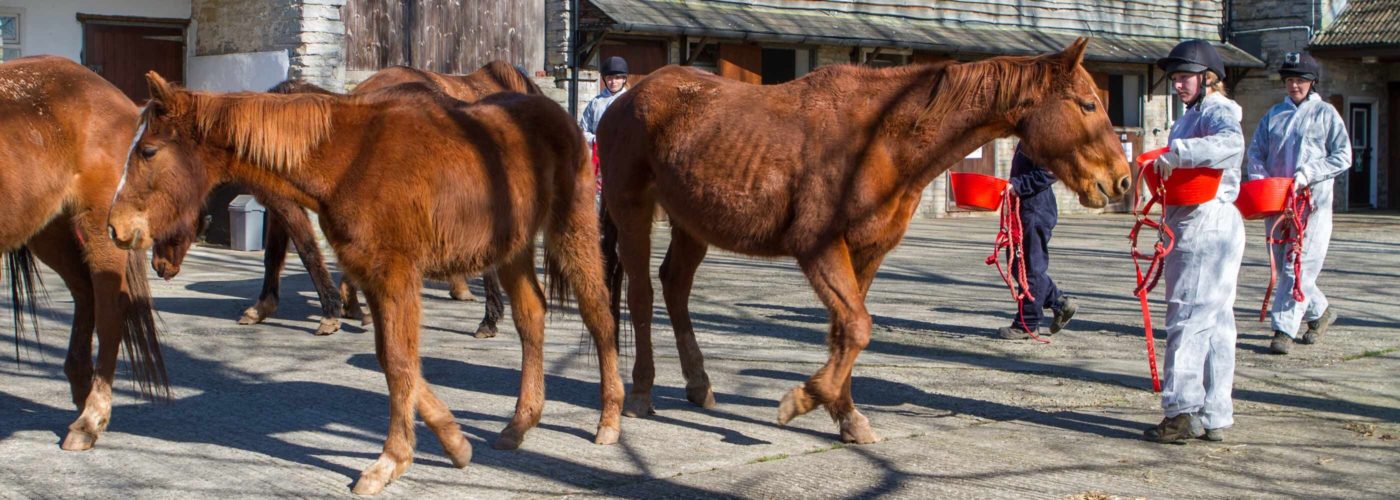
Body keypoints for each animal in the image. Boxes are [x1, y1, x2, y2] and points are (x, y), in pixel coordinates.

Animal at [0, 54, 168, 448]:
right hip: (51, 231)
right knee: (84, 294)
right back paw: (82, 393)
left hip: (101, 229)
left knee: (109, 310)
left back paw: (90, 419)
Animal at [112, 72, 627, 492]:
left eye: (149, 151)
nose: (116, 228)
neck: (347, 158)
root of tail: (556, 113)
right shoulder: (374, 275)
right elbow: (392, 358)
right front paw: (455, 443)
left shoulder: (396, 274)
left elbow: (399, 361)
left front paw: (390, 461)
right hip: (513, 249)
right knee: (531, 317)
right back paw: (520, 423)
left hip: (572, 228)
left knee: (600, 314)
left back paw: (609, 419)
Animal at [596, 39, 1131, 445]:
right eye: (1088, 104)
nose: (1121, 180)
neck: (880, 138)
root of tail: (623, 101)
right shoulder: (819, 248)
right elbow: (856, 328)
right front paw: (802, 401)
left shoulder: (865, 255)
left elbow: (847, 333)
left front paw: (845, 415)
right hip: (633, 211)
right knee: (641, 296)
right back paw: (639, 393)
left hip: (693, 224)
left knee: (675, 287)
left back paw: (699, 384)